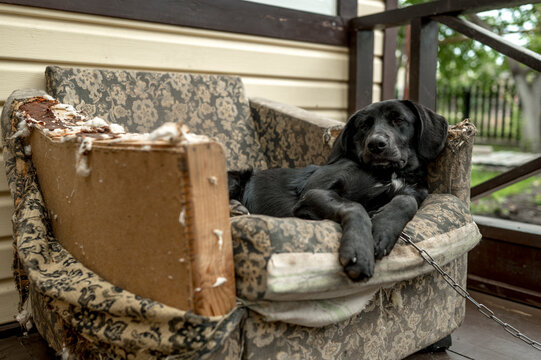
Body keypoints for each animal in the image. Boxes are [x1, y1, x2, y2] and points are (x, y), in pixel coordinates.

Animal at [228, 99, 448, 282]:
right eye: (364, 125)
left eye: (399, 119)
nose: (376, 144)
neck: (385, 173)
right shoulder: (312, 192)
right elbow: (355, 206)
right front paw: (360, 250)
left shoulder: (413, 192)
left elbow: (406, 201)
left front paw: (383, 229)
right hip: (235, 177)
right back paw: (235, 209)